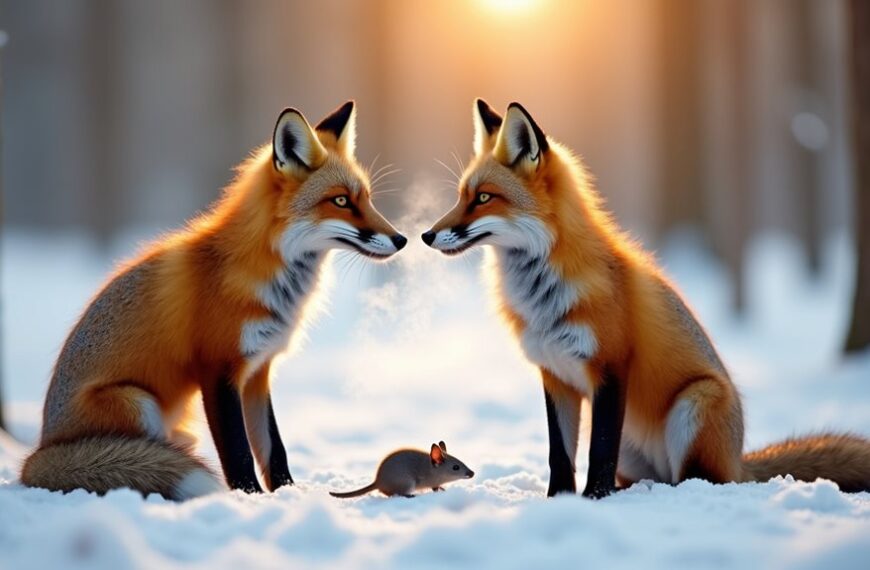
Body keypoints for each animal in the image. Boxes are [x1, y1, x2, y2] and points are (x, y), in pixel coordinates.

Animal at [20, 101, 407, 500]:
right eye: (342, 201)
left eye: (367, 199)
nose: (402, 239)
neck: (266, 275)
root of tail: (38, 453)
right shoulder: (218, 368)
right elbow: (238, 451)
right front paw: (249, 498)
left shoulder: (258, 372)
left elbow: (274, 448)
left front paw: (286, 493)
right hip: (138, 402)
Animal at [422, 98, 870, 498]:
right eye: (460, 197)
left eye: (483, 198)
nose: (426, 235)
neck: (543, 298)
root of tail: (739, 461)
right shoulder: (555, 376)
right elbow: (559, 455)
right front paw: (559, 500)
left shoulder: (611, 366)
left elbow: (598, 450)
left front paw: (593, 499)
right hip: (636, 449)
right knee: (655, 478)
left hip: (694, 405)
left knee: (697, 480)